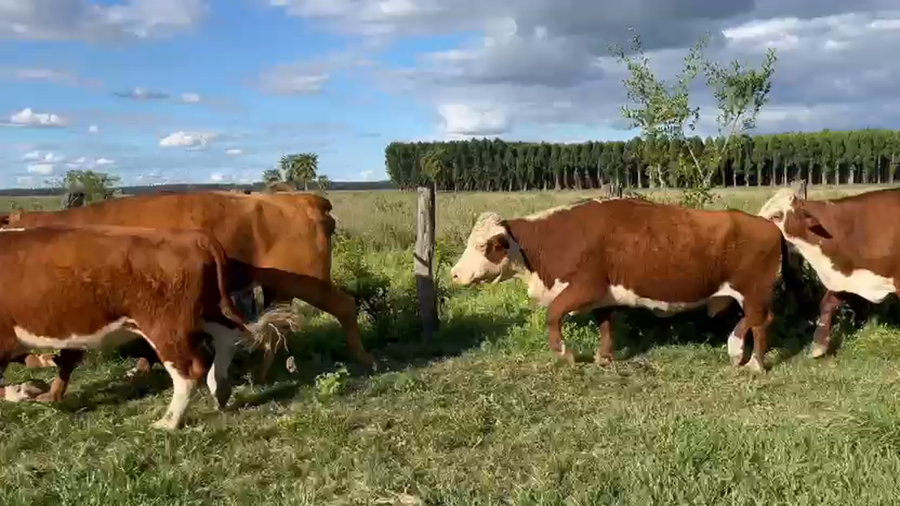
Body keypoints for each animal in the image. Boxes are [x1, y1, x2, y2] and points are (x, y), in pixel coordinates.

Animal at [0, 224, 279, 429]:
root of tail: (193, 236)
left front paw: (22, 390)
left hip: (165, 327)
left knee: (189, 372)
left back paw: (169, 422)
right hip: (203, 311)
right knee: (227, 335)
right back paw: (219, 389)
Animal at [2, 190, 373, 382]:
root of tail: (299, 198)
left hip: (309, 283)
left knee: (344, 307)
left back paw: (364, 358)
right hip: (278, 287)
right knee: (275, 329)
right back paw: (262, 373)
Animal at [449, 197, 800, 372]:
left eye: (483, 246)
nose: (454, 274)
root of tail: (768, 225)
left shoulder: (583, 288)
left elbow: (553, 315)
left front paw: (566, 354)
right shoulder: (602, 297)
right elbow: (605, 325)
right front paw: (604, 357)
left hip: (755, 292)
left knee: (759, 322)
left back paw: (748, 359)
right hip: (750, 294)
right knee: (756, 322)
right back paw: (744, 355)